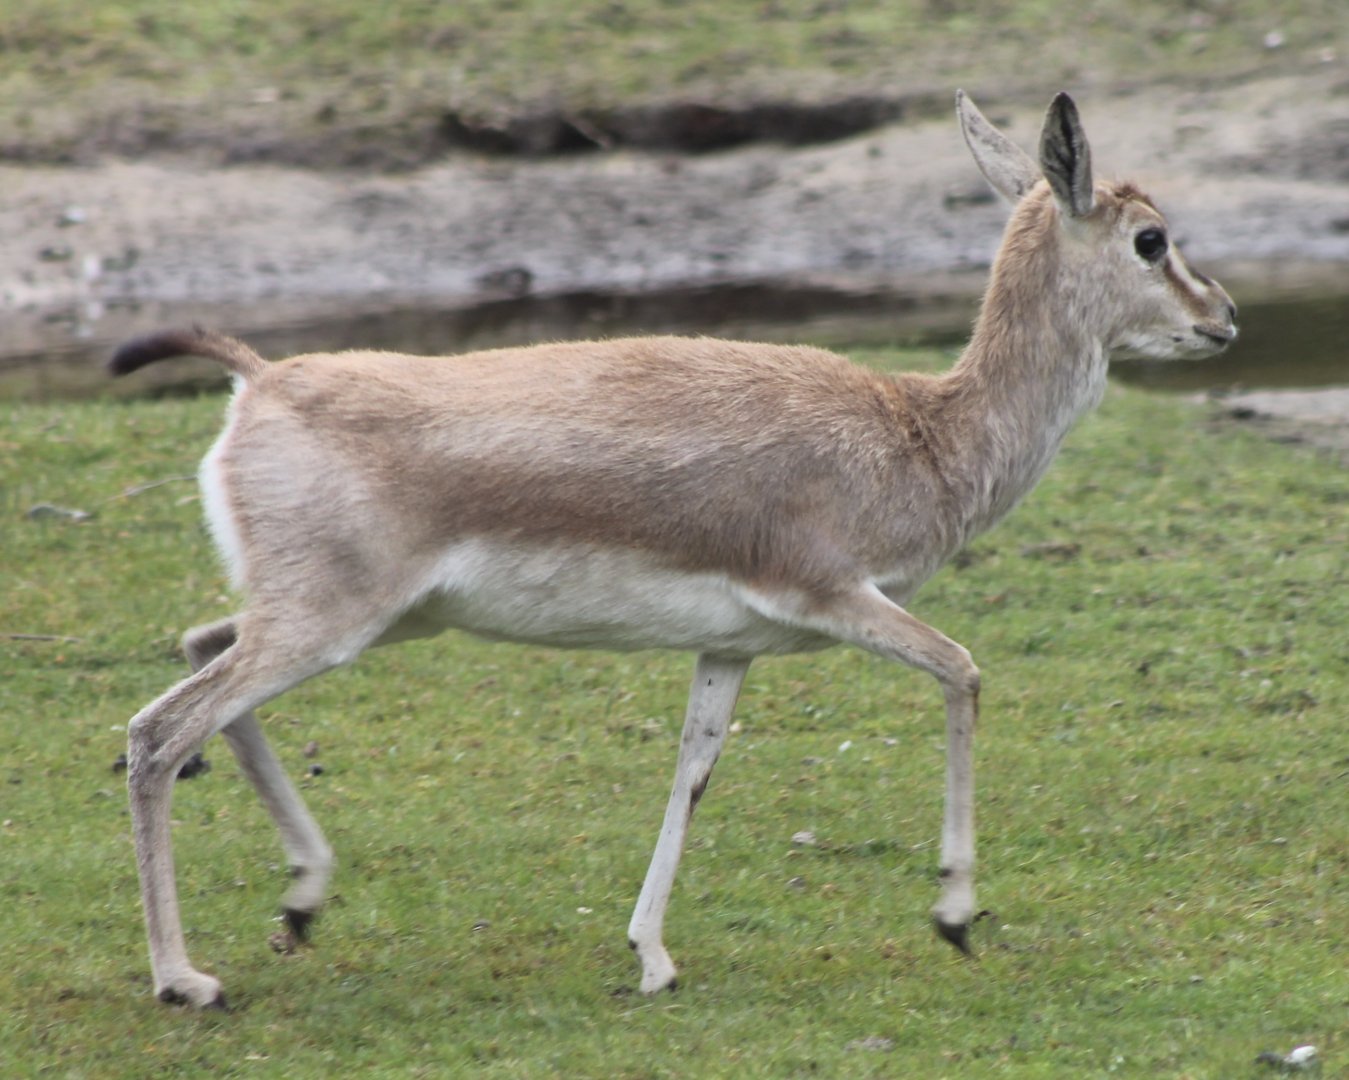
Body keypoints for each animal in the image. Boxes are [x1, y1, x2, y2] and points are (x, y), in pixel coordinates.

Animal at [110, 91, 1236, 1009]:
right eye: (1150, 239)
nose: (1223, 318)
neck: (919, 433)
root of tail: (259, 381)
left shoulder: (729, 644)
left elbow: (693, 766)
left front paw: (650, 955)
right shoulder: (834, 594)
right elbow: (961, 671)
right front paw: (954, 917)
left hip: (366, 618)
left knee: (201, 647)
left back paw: (302, 903)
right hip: (332, 622)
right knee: (160, 730)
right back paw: (185, 980)